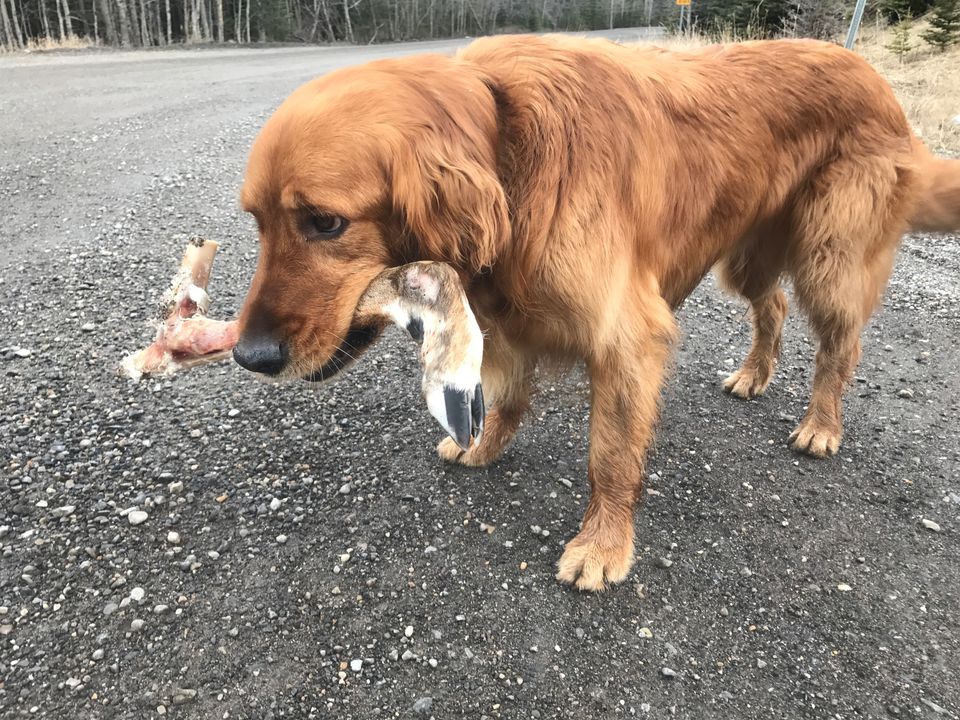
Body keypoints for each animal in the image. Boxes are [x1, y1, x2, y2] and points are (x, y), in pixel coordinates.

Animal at [232, 35, 960, 592]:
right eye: (256, 221)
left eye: (326, 222)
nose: (248, 356)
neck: (507, 151)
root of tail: (875, 77)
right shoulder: (503, 317)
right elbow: (506, 395)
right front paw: (484, 445)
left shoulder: (626, 338)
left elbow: (609, 456)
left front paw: (604, 545)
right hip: (749, 253)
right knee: (772, 303)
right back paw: (755, 374)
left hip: (830, 257)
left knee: (841, 343)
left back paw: (821, 425)